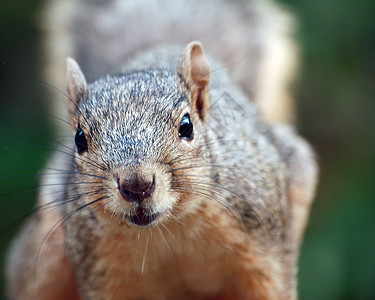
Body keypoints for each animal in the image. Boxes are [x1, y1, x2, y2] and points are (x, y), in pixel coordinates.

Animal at [5, 0, 318, 300]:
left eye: (187, 127)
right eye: (79, 139)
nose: (137, 185)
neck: (170, 228)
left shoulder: (266, 248)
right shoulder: (101, 271)